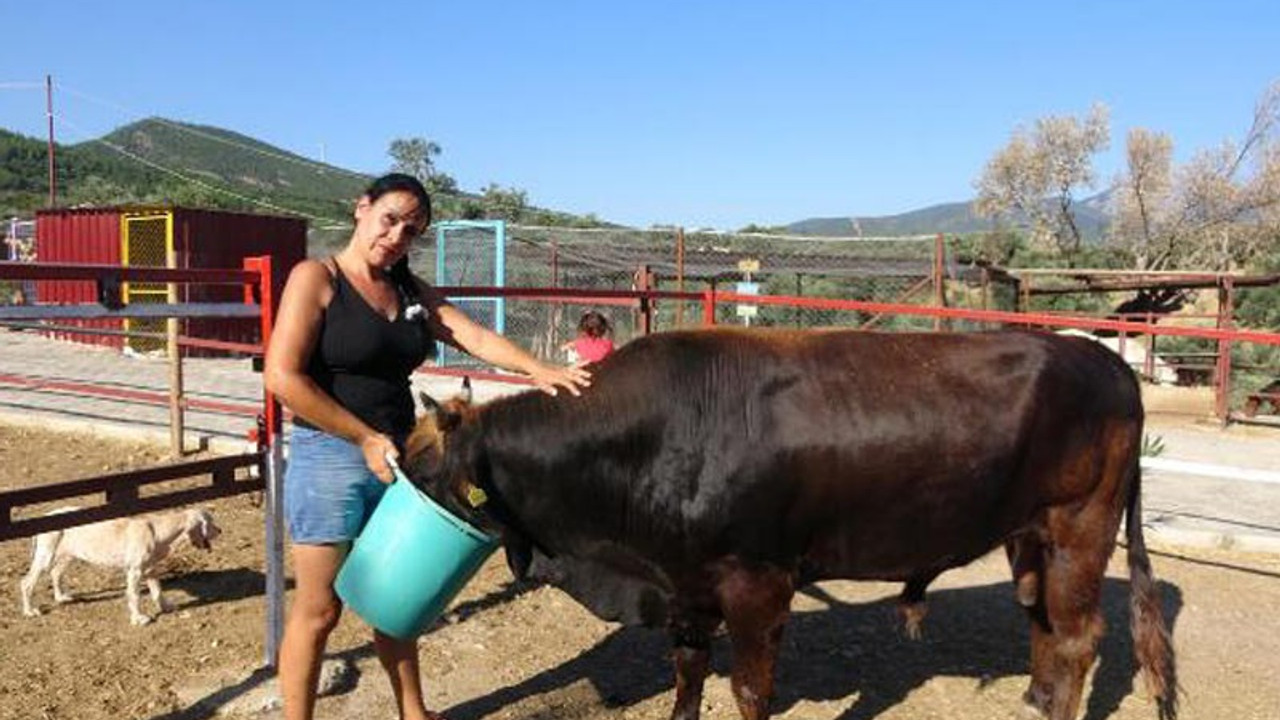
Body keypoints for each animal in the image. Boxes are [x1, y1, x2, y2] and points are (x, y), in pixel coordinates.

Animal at [20, 504, 221, 622]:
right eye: (210, 522)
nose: (220, 531)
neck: (158, 531)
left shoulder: (150, 570)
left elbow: (158, 591)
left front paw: (166, 607)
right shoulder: (135, 571)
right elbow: (134, 595)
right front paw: (139, 618)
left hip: (68, 556)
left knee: (56, 574)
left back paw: (61, 597)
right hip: (45, 556)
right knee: (27, 583)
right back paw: (30, 611)